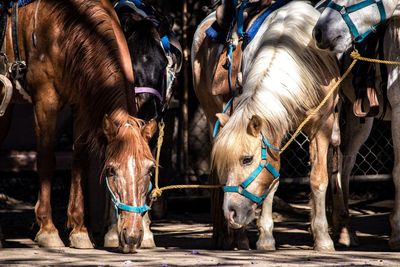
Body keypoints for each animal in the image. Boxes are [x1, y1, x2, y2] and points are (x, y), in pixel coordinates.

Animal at [0, 0, 156, 253]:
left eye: (150, 170)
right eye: (111, 170)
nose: (131, 236)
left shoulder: (81, 104)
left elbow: (80, 162)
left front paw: (79, 231)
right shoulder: (45, 101)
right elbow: (46, 161)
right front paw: (48, 230)